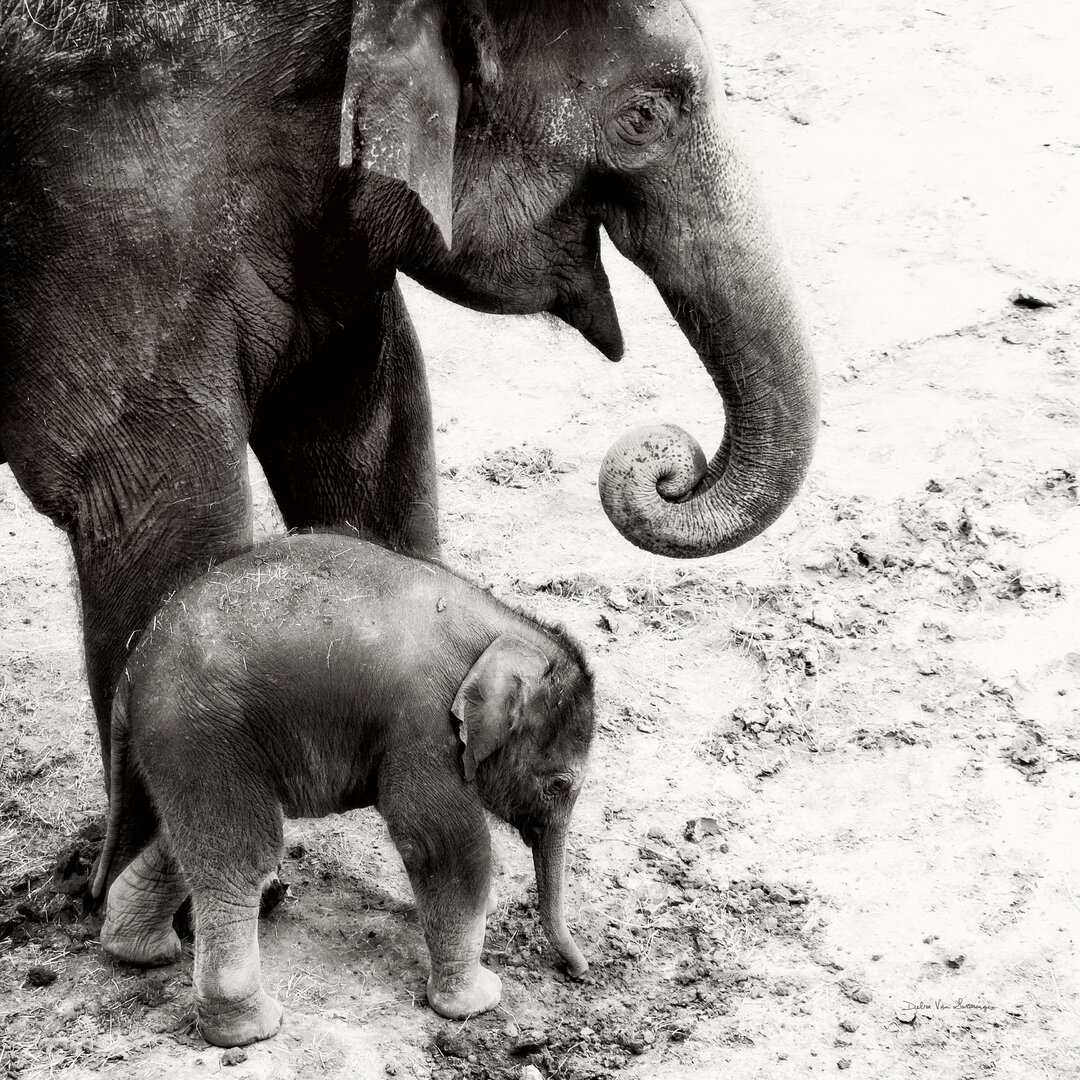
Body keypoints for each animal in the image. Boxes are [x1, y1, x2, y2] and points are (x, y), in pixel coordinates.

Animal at [92, 533, 596, 1045]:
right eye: (558, 785)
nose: (579, 973)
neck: (505, 629)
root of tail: (132, 671)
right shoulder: (423, 722)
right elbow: (442, 843)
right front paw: (478, 1002)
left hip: (184, 746)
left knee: (189, 839)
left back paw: (139, 950)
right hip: (201, 733)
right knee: (239, 858)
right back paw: (250, 1028)